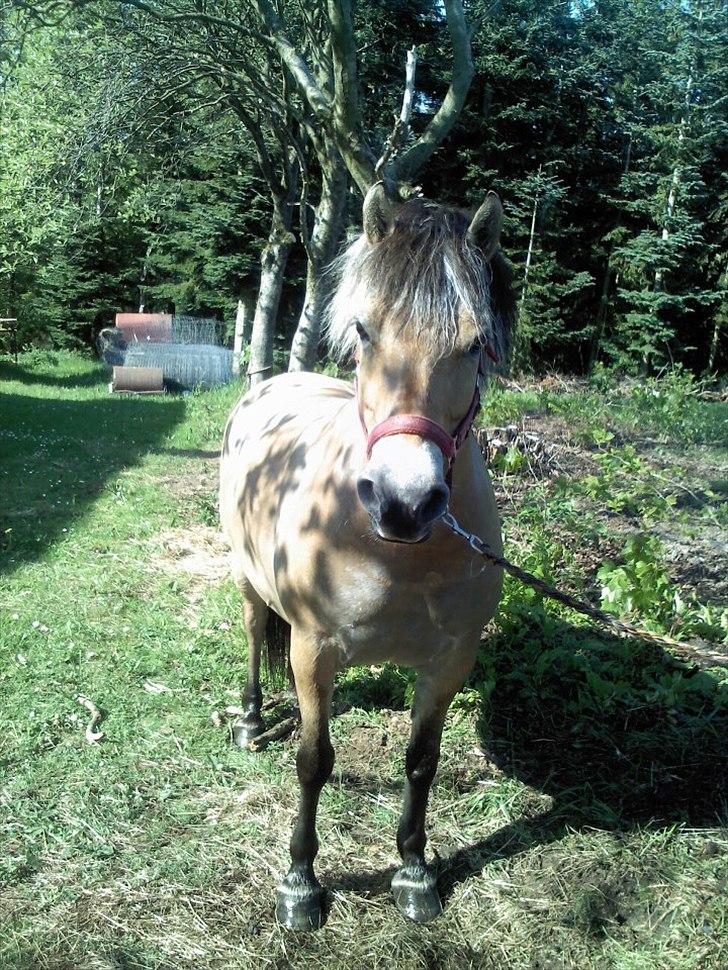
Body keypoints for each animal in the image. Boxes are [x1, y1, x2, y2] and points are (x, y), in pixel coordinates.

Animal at [219, 183, 516, 932]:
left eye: (476, 344)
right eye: (363, 330)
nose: (404, 501)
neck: (395, 557)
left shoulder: (450, 661)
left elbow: (422, 760)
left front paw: (413, 869)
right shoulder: (312, 650)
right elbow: (314, 761)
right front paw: (300, 882)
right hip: (246, 580)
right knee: (252, 634)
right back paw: (252, 718)